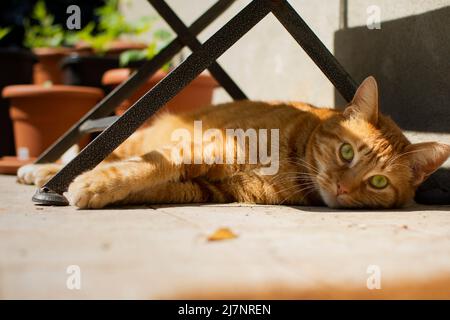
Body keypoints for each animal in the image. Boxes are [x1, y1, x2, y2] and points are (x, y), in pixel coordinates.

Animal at [17, 76, 450, 209]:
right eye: (346, 152)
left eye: (378, 182)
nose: (343, 188)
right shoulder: (202, 148)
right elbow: (149, 164)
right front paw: (94, 183)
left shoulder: (205, 188)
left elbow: (151, 180)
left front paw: (103, 189)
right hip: (138, 135)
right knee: (104, 153)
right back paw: (39, 171)